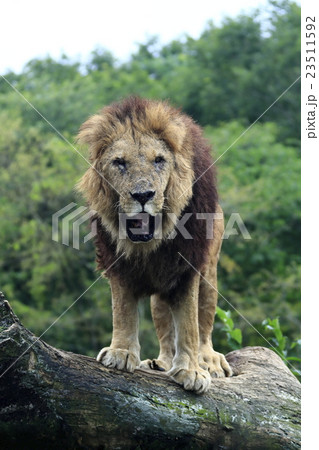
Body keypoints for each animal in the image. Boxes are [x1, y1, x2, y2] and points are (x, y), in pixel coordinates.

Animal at [77, 96, 232, 392]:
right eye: (119, 162)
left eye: (159, 160)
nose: (142, 195)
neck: (149, 243)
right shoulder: (117, 263)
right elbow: (123, 310)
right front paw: (121, 352)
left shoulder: (188, 266)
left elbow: (190, 324)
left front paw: (192, 371)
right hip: (159, 299)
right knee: (165, 330)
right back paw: (160, 363)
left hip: (209, 273)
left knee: (204, 323)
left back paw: (209, 360)